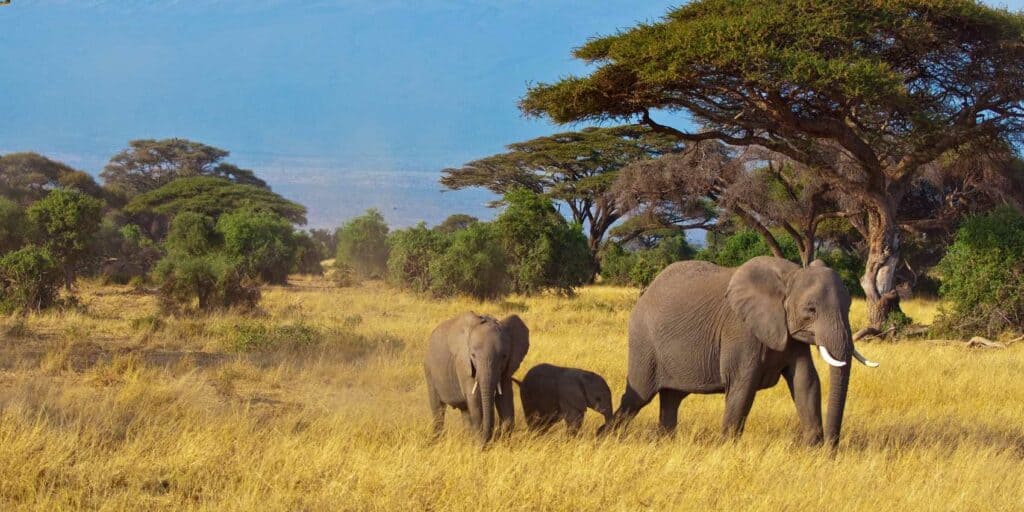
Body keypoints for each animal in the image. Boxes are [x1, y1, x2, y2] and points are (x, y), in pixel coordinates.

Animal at [423, 311, 530, 444]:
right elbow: (475, 401)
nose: (494, 436)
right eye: (473, 355)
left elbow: (505, 399)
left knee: (465, 411)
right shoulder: (463, 364)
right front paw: (479, 444)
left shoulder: (507, 368)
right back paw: (436, 441)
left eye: (504, 356)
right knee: (438, 409)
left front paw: (502, 443)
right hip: (429, 370)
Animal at [607, 256, 878, 446]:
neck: (790, 276)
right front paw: (727, 447)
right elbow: (743, 385)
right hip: (644, 343)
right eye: (810, 310)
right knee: (638, 396)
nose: (832, 448)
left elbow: (806, 381)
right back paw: (606, 437)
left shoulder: (789, 335)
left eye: (849, 307)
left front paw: (812, 448)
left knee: (671, 399)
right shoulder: (740, 330)